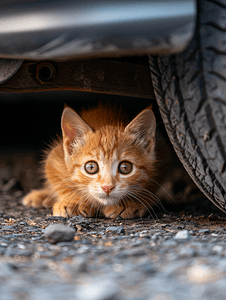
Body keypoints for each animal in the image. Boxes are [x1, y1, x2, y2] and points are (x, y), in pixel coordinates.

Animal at [22, 103, 170, 218]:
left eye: (125, 168)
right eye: (91, 167)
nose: (107, 187)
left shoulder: (161, 158)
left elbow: (150, 185)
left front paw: (129, 203)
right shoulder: (53, 158)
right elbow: (61, 184)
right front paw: (75, 201)